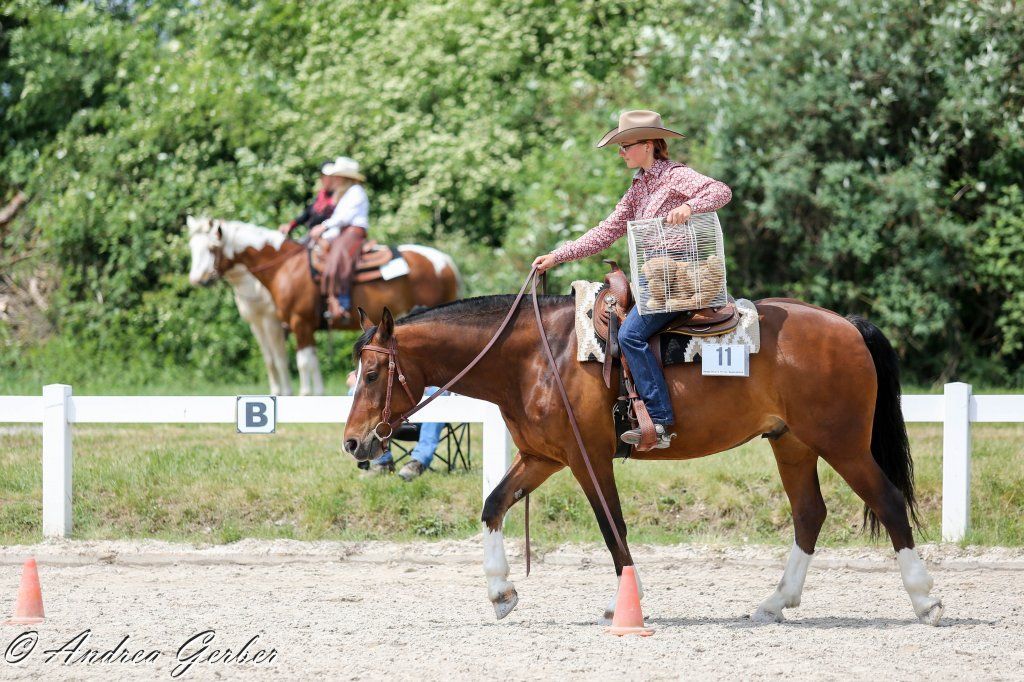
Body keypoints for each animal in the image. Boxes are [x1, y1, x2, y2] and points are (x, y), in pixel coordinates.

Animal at [186, 217, 461, 395]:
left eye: (212, 248)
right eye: (192, 248)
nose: (198, 279)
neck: (286, 267)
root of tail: (445, 262)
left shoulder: (296, 322)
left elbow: (301, 361)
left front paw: (305, 394)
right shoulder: (267, 324)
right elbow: (280, 360)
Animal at [342, 290, 945, 627]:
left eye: (371, 374)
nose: (353, 443)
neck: (538, 355)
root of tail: (848, 325)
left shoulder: (587, 459)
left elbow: (614, 528)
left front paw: (624, 606)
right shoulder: (542, 457)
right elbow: (493, 506)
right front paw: (501, 594)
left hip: (844, 444)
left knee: (889, 503)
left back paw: (925, 603)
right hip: (791, 443)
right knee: (809, 514)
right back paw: (776, 603)